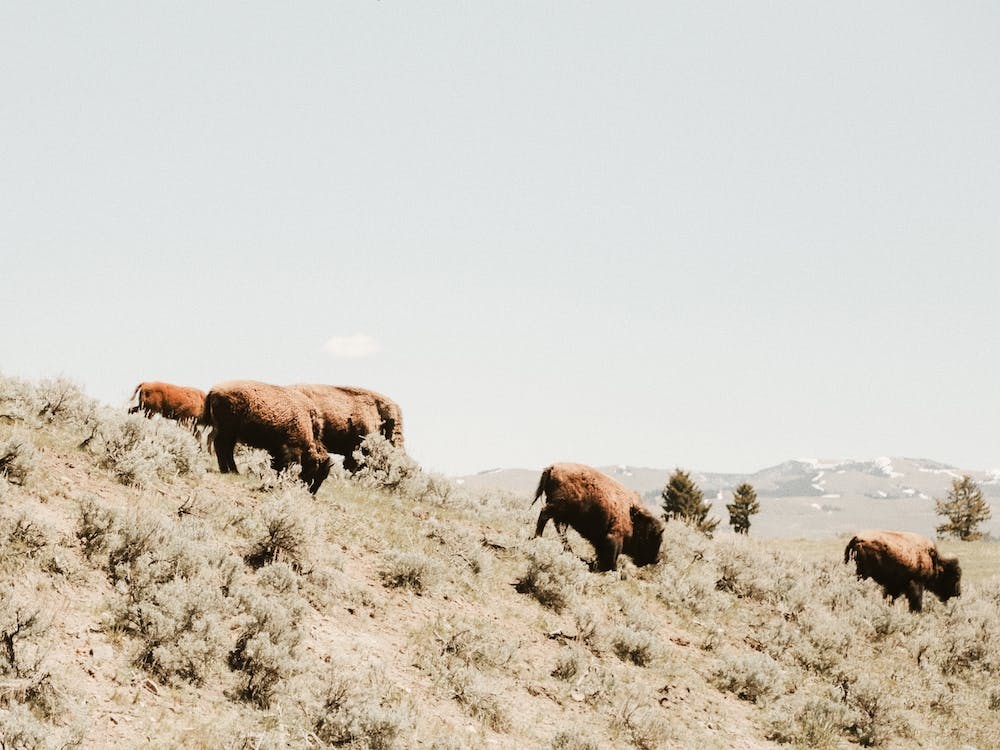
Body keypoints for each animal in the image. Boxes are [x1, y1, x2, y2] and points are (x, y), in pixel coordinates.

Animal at [532, 462, 663, 572]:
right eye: (651, 536)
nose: (656, 559)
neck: (632, 516)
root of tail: (552, 467)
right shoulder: (615, 536)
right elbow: (612, 554)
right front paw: (612, 568)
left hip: (562, 514)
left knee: (560, 530)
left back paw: (568, 550)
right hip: (557, 508)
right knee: (544, 516)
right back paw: (537, 537)